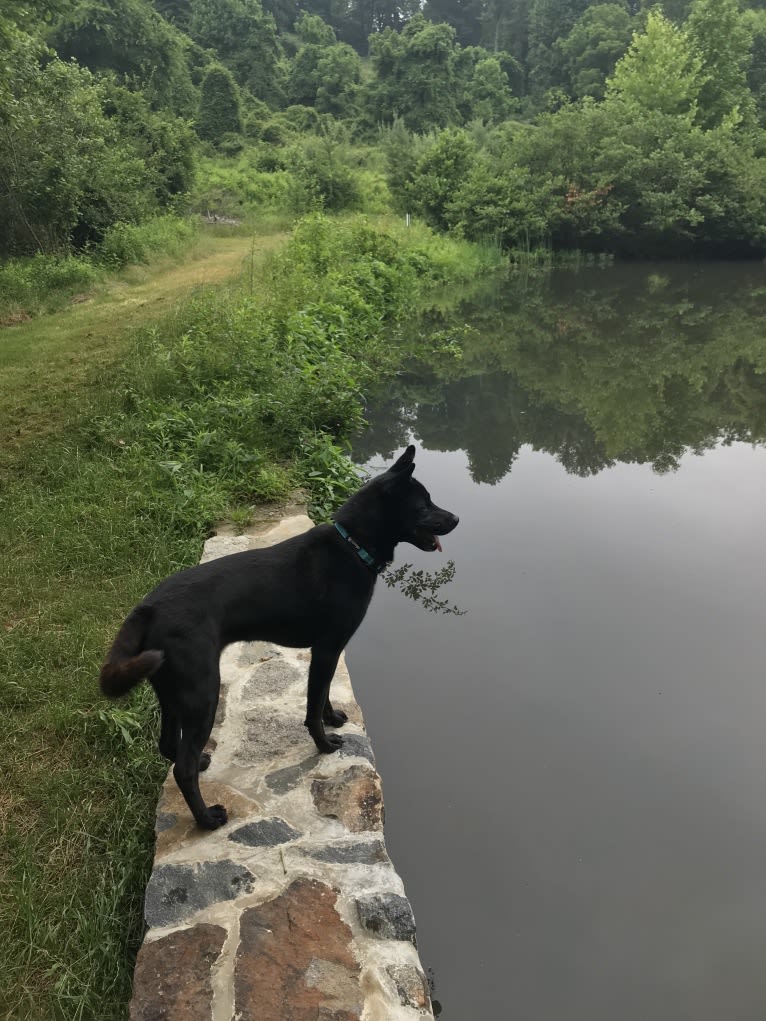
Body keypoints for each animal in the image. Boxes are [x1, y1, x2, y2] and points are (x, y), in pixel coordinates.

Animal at [102, 447, 461, 829]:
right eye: (423, 505)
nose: (456, 518)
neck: (352, 546)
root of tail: (149, 606)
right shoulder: (327, 648)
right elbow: (312, 705)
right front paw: (325, 744)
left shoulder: (327, 652)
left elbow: (323, 695)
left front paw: (333, 718)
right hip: (202, 691)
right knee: (181, 767)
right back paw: (207, 818)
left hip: (171, 690)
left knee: (170, 747)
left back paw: (201, 765)